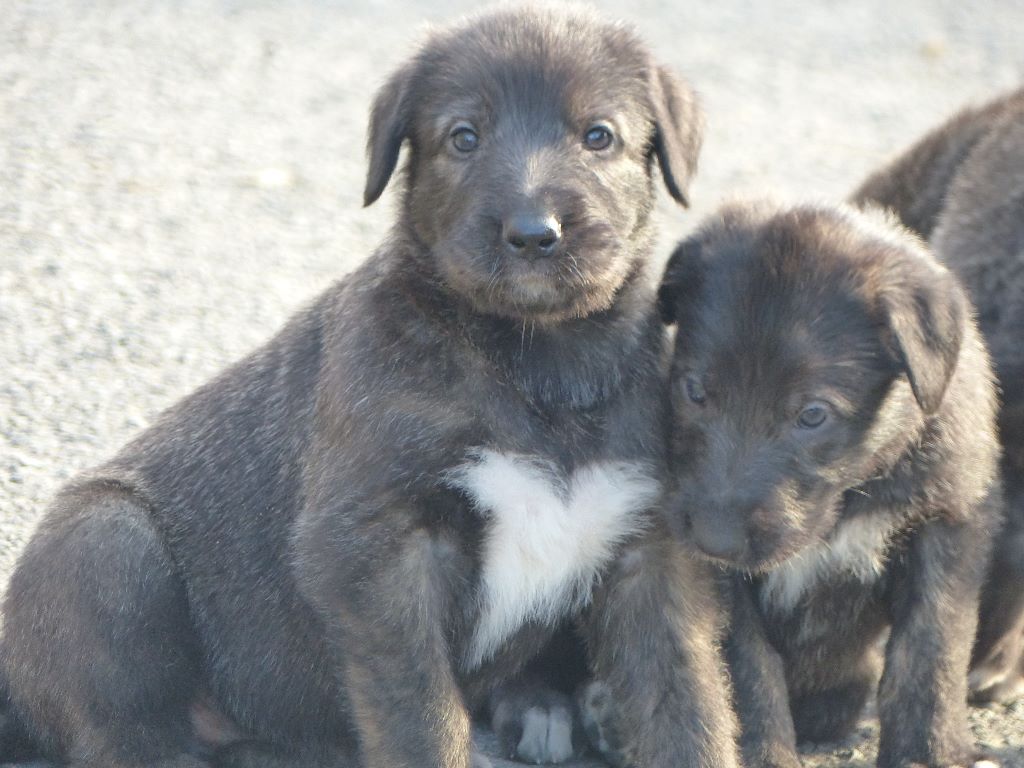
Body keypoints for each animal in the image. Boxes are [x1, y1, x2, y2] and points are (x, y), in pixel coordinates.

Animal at [0, 6, 741, 768]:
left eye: (599, 135)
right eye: (463, 137)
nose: (535, 234)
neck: (539, 359)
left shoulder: (647, 551)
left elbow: (684, 704)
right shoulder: (378, 554)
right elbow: (420, 716)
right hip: (105, 543)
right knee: (124, 727)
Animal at [655, 199, 999, 768]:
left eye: (813, 415)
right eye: (695, 391)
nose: (714, 540)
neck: (851, 494)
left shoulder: (945, 524)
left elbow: (929, 650)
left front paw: (928, 750)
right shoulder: (722, 581)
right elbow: (750, 668)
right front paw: (765, 754)